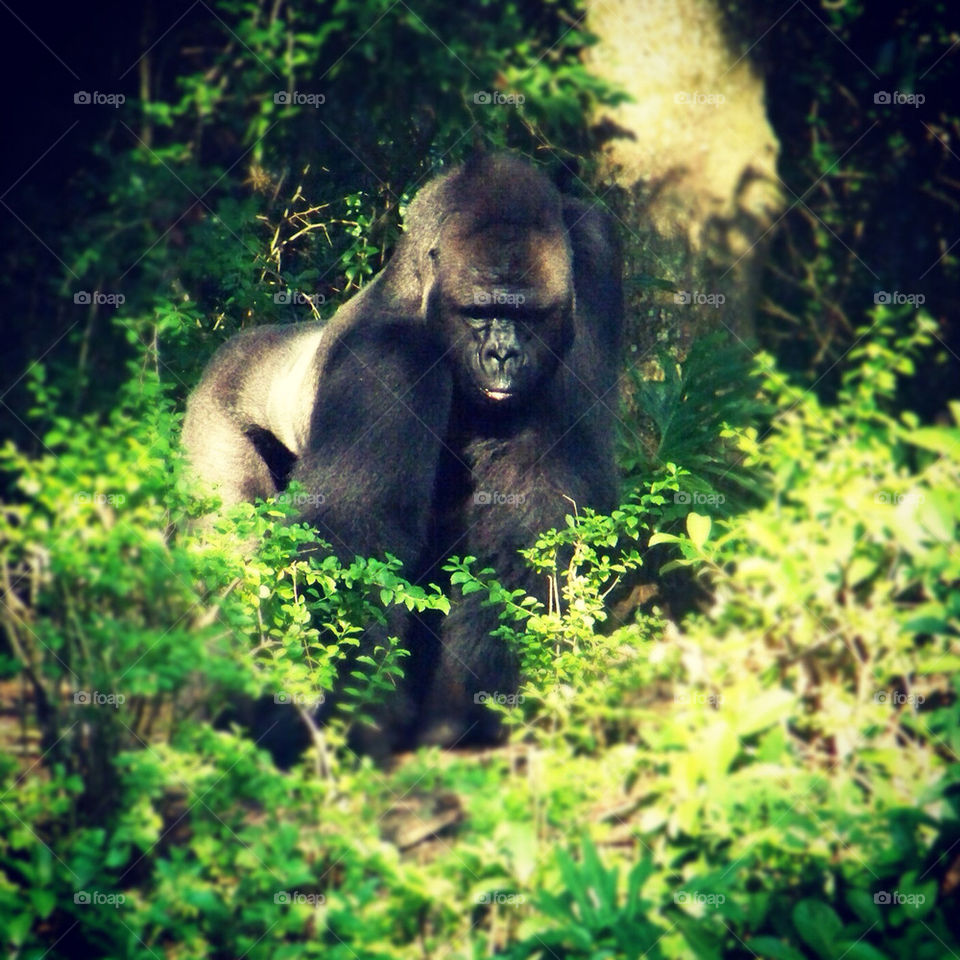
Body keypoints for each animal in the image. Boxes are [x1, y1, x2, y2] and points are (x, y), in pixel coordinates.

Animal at [185, 152, 628, 752]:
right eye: (479, 312)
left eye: (529, 316)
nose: (502, 355)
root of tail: (236, 347)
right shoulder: (390, 353)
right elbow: (355, 534)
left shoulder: (595, 263)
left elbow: (538, 511)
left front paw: (469, 708)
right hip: (215, 411)